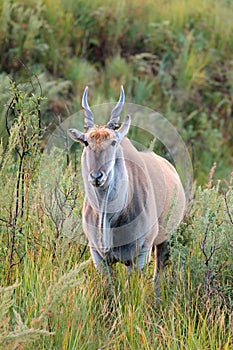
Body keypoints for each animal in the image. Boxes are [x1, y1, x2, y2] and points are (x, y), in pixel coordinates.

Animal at [67, 87, 186, 278]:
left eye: (114, 142)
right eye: (86, 142)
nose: (97, 176)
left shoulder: (139, 255)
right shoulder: (98, 256)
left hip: (164, 240)